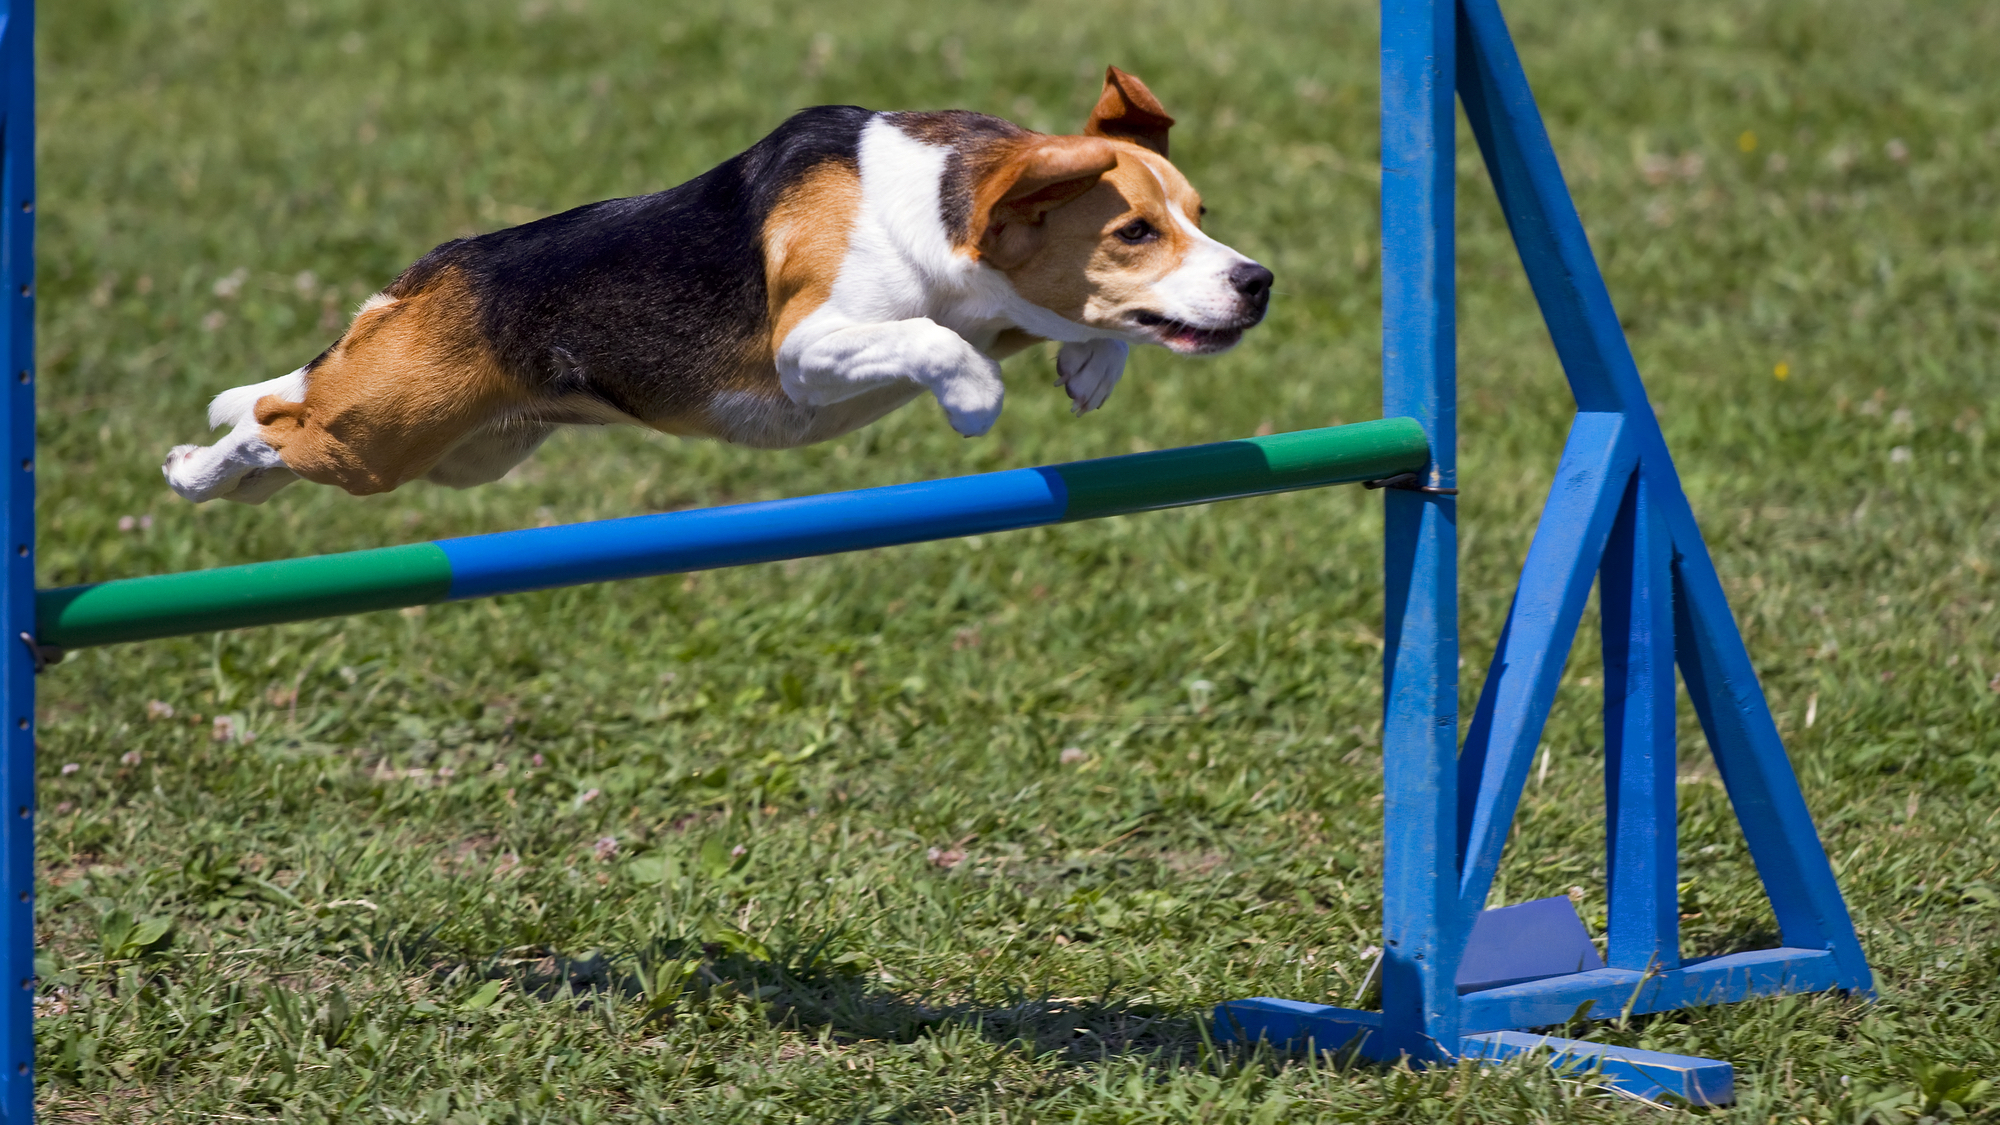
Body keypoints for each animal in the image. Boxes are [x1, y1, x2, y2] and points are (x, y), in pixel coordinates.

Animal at [164, 66, 1272, 504]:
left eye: (1198, 214)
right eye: (1132, 231)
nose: (1257, 281)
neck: (936, 207)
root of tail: (431, 268)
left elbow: (1067, 332)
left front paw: (1089, 367)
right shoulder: (808, 348)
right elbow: (939, 344)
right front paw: (972, 399)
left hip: (464, 452)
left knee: (281, 423)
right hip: (384, 433)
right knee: (272, 418)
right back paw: (192, 468)